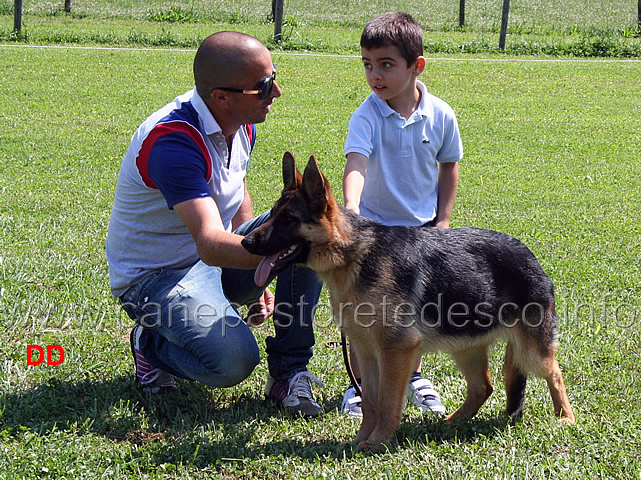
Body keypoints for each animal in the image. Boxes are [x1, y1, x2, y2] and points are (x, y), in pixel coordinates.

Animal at [241, 153, 576, 450]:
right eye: (273, 214)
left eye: (288, 220)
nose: (245, 242)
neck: (353, 254)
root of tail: (530, 256)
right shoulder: (366, 351)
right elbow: (371, 401)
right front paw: (361, 439)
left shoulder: (395, 350)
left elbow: (388, 401)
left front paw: (378, 442)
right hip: (465, 347)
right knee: (484, 386)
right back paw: (453, 422)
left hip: (531, 350)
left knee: (555, 374)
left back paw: (566, 417)